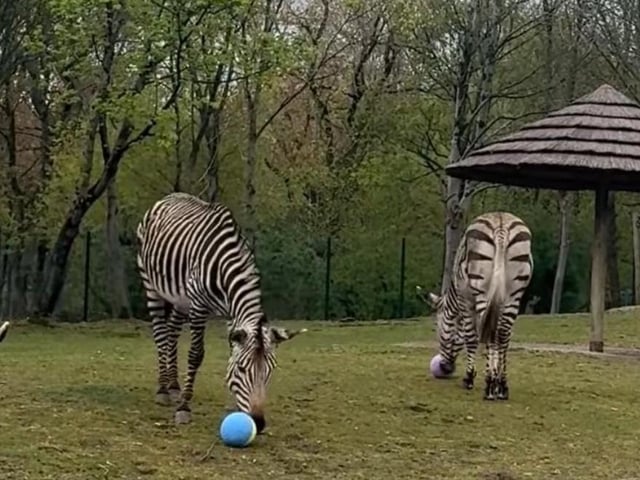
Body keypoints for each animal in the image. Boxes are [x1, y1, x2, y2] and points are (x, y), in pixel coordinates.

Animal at [136, 192, 305, 431]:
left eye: (270, 371)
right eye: (242, 369)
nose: (258, 422)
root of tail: (169, 196)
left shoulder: (231, 315)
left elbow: (230, 352)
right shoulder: (199, 306)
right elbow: (196, 354)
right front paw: (183, 409)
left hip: (180, 299)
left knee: (172, 333)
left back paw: (174, 385)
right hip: (151, 285)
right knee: (160, 333)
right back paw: (163, 390)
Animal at [425, 211, 533, 400]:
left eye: (438, 328)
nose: (444, 368)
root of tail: (501, 226)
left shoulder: (465, 300)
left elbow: (471, 337)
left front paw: (470, 378)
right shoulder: (500, 302)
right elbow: (497, 338)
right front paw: (496, 378)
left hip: (482, 289)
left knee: (488, 331)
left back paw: (489, 387)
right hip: (514, 294)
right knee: (503, 333)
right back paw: (502, 387)